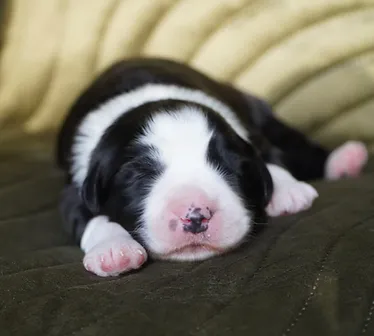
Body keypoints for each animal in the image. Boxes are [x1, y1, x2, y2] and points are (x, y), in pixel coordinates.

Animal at [57, 57, 368, 276]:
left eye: (232, 168)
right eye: (137, 175)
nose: (196, 216)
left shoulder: (249, 134)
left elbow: (269, 156)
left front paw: (288, 191)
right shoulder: (75, 183)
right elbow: (88, 217)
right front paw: (114, 250)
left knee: (293, 141)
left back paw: (346, 158)